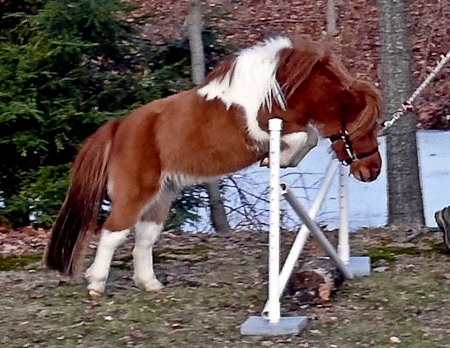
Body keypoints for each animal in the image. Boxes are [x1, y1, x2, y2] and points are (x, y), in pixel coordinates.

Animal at [45, 35, 382, 296]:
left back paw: (150, 284)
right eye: (364, 127)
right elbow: (304, 136)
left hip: (161, 196)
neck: (281, 90)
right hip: (135, 194)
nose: (372, 172)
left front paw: (281, 160)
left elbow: (308, 136)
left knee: (144, 237)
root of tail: (118, 128)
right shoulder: (263, 130)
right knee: (112, 233)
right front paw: (278, 159)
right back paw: (96, 285)